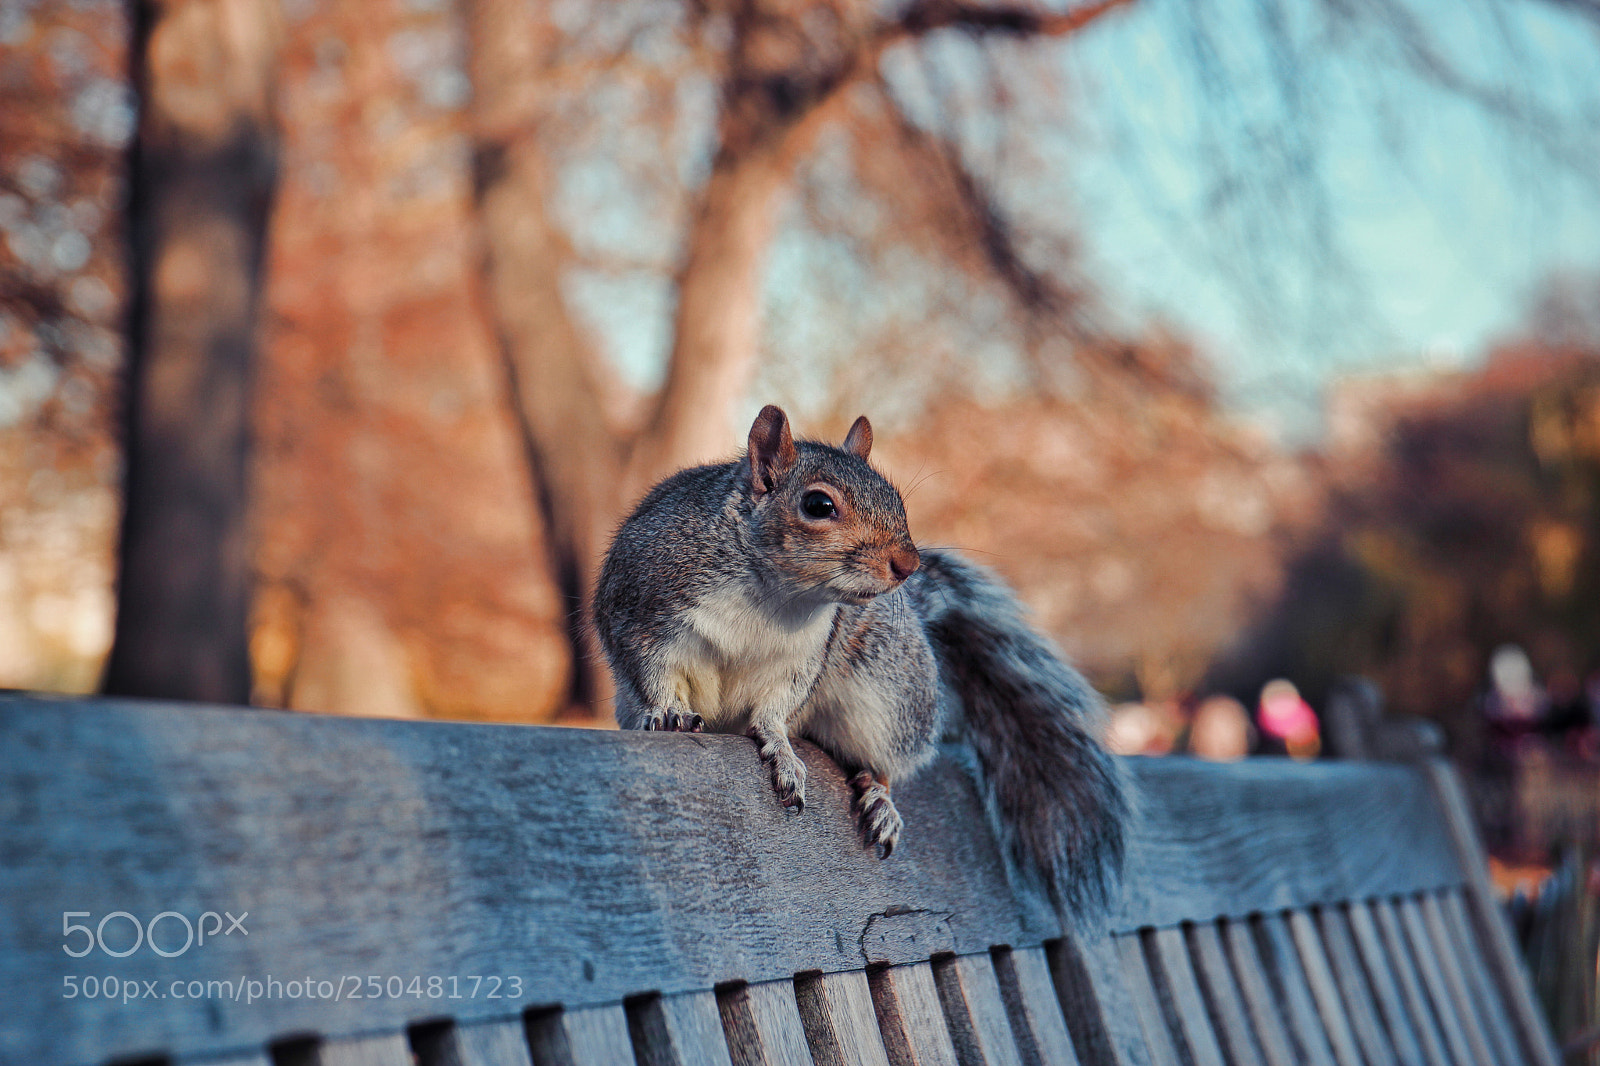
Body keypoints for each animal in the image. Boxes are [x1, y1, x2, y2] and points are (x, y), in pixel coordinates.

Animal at [594, 405, 1130, 922]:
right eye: (818, 505)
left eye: (897, 499)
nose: (908, 565)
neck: (773, 592)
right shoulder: (644, 612)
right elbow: (652, 672)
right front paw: (667, 712)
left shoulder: (803, 659)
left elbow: (776, 709)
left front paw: (780, 749)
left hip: (890, 694)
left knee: (887, 755)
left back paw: (880, 795)